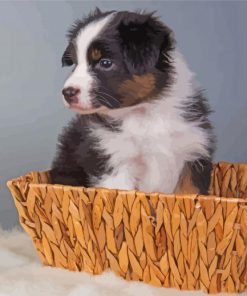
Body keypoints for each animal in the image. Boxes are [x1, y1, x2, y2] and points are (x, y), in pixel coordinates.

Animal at [50, 7, 216, 194]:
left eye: (105, 63)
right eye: (75, 63)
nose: (67, 92)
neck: (146, 113)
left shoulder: (193, 156)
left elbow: (190, 193)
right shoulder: (113, 161)